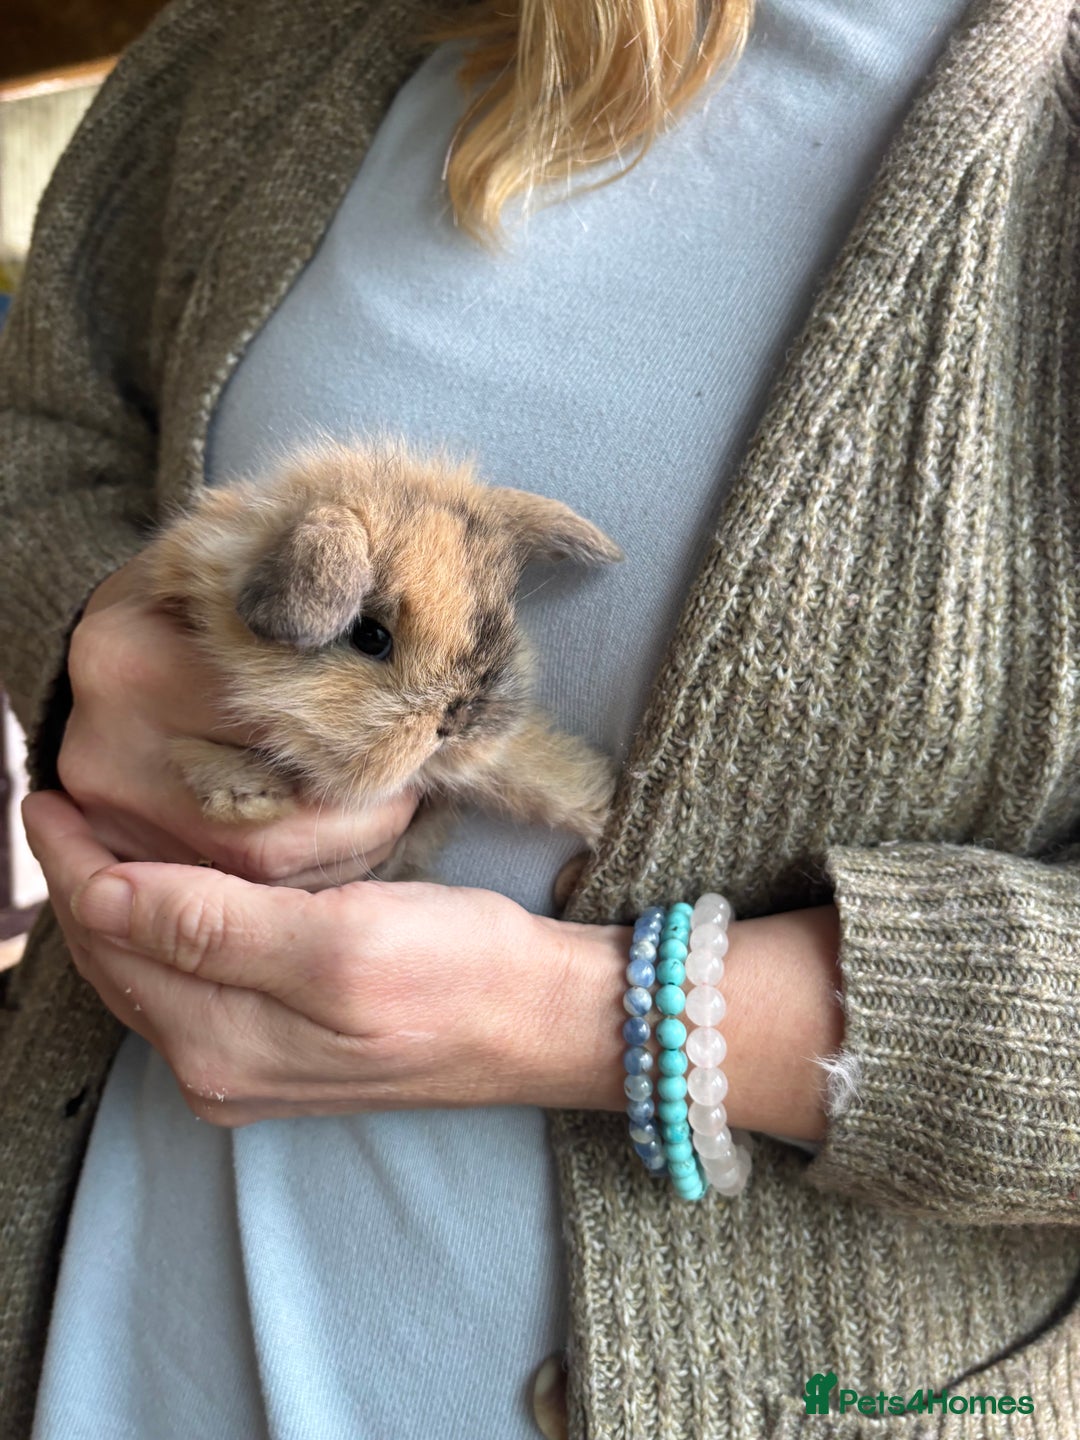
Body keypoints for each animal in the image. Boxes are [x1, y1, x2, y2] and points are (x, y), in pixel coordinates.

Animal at [141, 437, 623, 880]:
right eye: (370, 636)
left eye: (500, 618)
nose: (458, 721)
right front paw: (254, 797)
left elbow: (547, 778)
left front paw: (606, 811)